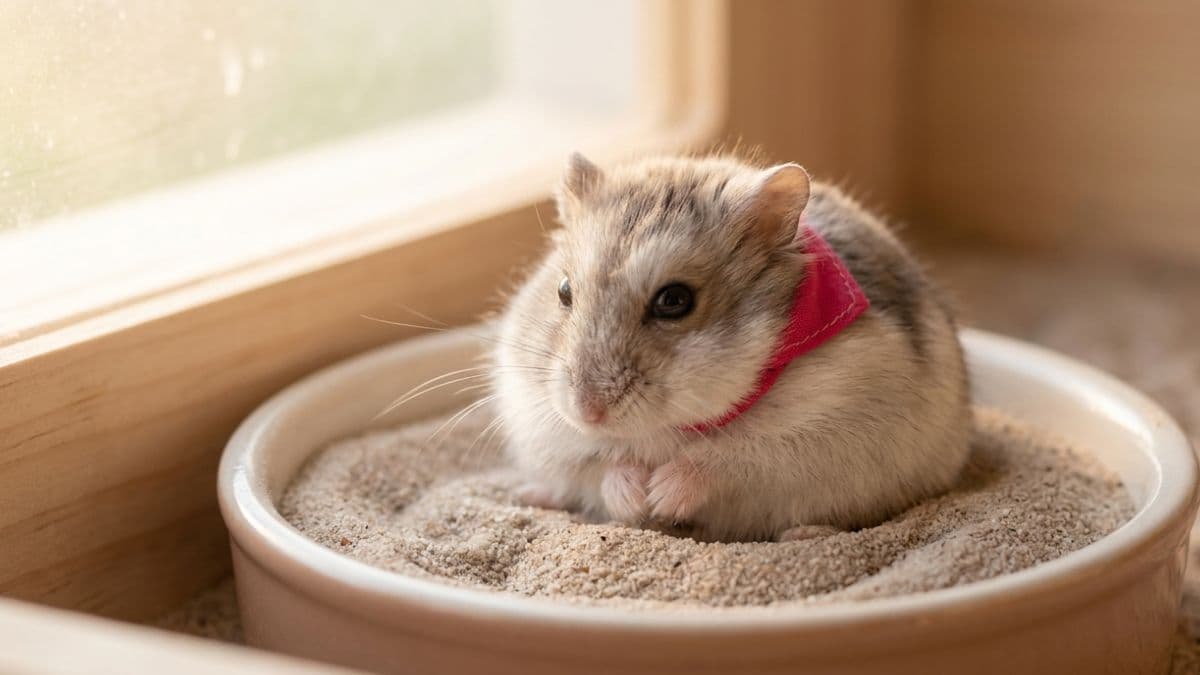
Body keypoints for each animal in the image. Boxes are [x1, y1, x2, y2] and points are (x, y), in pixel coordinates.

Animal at [491, 153, 970, 543]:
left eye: (674, 300)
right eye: (564, 291)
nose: (587, 411)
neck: (672, 427)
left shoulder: (822, 438)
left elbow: (731, 459)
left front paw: (661, 495)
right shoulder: (549, 427)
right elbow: (599, 464)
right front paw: (637, 498)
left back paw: (805, 534)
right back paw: (530, 494)